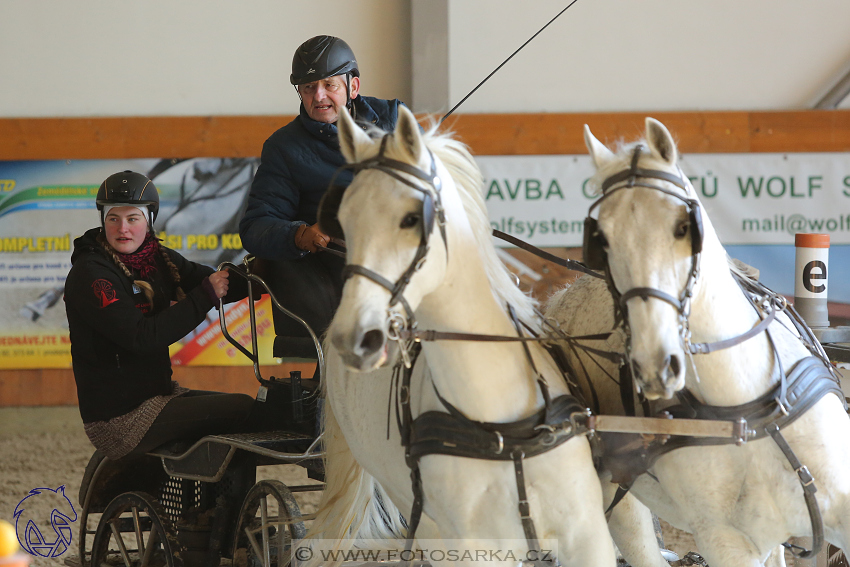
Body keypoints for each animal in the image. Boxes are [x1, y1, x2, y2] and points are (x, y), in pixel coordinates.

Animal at [304, 106, 616, 567]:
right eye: (343, 221)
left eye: (411, 218)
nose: (356, 337)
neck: (499, 422)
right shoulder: (471, 545)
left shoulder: (587, 536)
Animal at [544, 117, 848, 564]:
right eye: (603, 240)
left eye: (683, 227)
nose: (655, 364)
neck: (747, 409)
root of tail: (557, 303)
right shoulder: (726, 542)